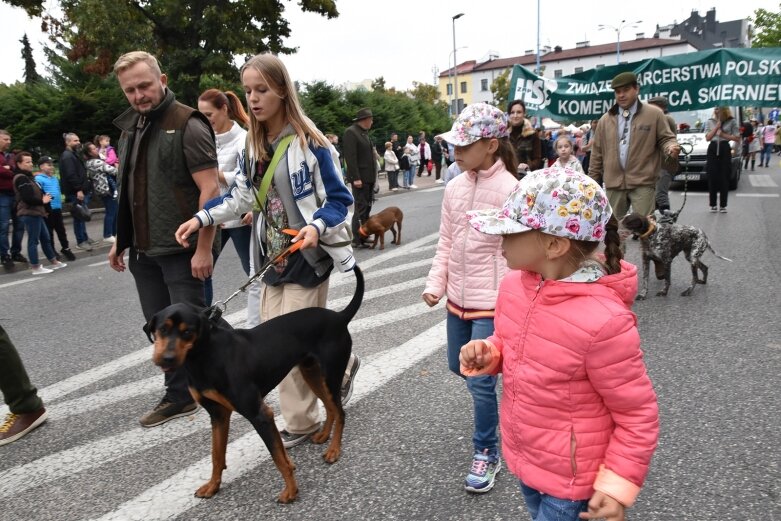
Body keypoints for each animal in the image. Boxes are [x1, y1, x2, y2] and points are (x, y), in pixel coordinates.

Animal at [145, 266, 364, 502]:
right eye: (162, 329)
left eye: (187, 331)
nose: (166, 359)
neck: (205, 357)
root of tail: (339, 316)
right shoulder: (218, 415)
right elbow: (216, 455)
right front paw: (212, 486)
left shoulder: (260, 414)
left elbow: (278, 458)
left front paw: (291, 490)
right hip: (311, 372)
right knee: (330, 407)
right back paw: (324, 436)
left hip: (330, 373)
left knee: (340, 412)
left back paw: (334, 450)